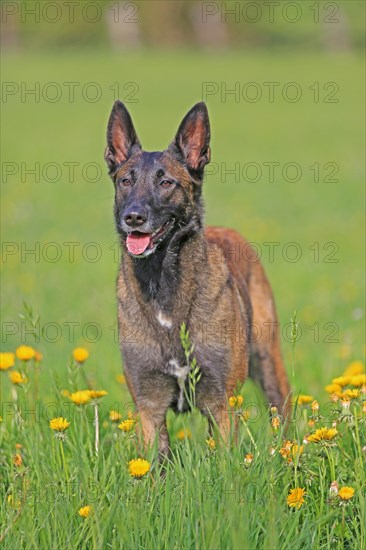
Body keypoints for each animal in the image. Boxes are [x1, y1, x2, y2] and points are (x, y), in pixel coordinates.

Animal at [104, 101, 290, 454]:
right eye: (125, 181)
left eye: (166, 183)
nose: (133, 217)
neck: (163, 281)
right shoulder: (149, 409)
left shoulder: (221, 405)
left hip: (268, 363)